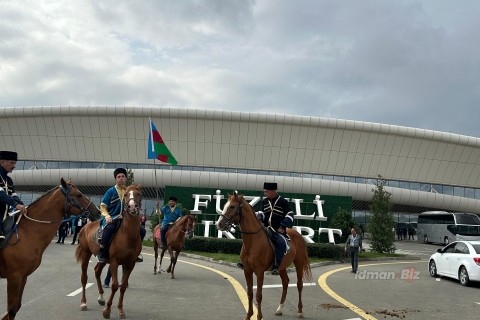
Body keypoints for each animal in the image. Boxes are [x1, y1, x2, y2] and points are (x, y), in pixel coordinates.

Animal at [0, 178, 99, 320]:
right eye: (79, 195)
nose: (98, 212)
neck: (26, 233)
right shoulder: (14, 276)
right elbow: (12, 309)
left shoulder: (23, 276)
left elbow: (16, 307)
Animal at [75, 184, 142, 318]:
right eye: (126, 194)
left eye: (138, 194)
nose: (132, 207)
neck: (128, 235)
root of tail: (85, 226)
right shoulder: (115, 262)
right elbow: (115, 285)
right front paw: (107, 310)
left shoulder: (130, 264)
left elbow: (123, 286)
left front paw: (120, 310)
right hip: (85, 253)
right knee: (84, 277)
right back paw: (83, 303)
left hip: (103, 259)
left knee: (97, 271)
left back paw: (101, 298)